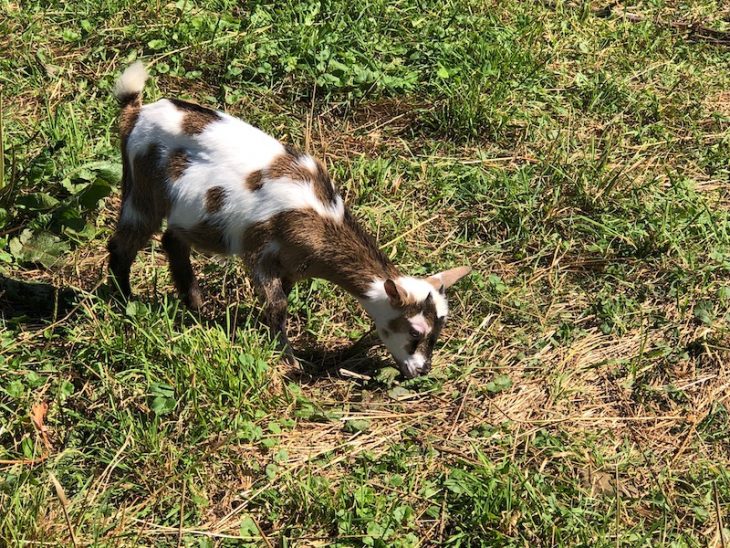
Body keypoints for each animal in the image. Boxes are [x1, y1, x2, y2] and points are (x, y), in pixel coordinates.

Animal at [108, 60, 472, 376]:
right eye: (415, 332)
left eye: (437, 333)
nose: (422, 371)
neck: (320, 218)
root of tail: (137, 111)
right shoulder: (260, 251)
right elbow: (278, 305)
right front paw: (288, 359)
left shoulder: (293, 265)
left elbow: (281, 300)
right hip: (142, 189)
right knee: (123, 244)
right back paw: (124, 301)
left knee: (173, 240)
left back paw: (195, 306)